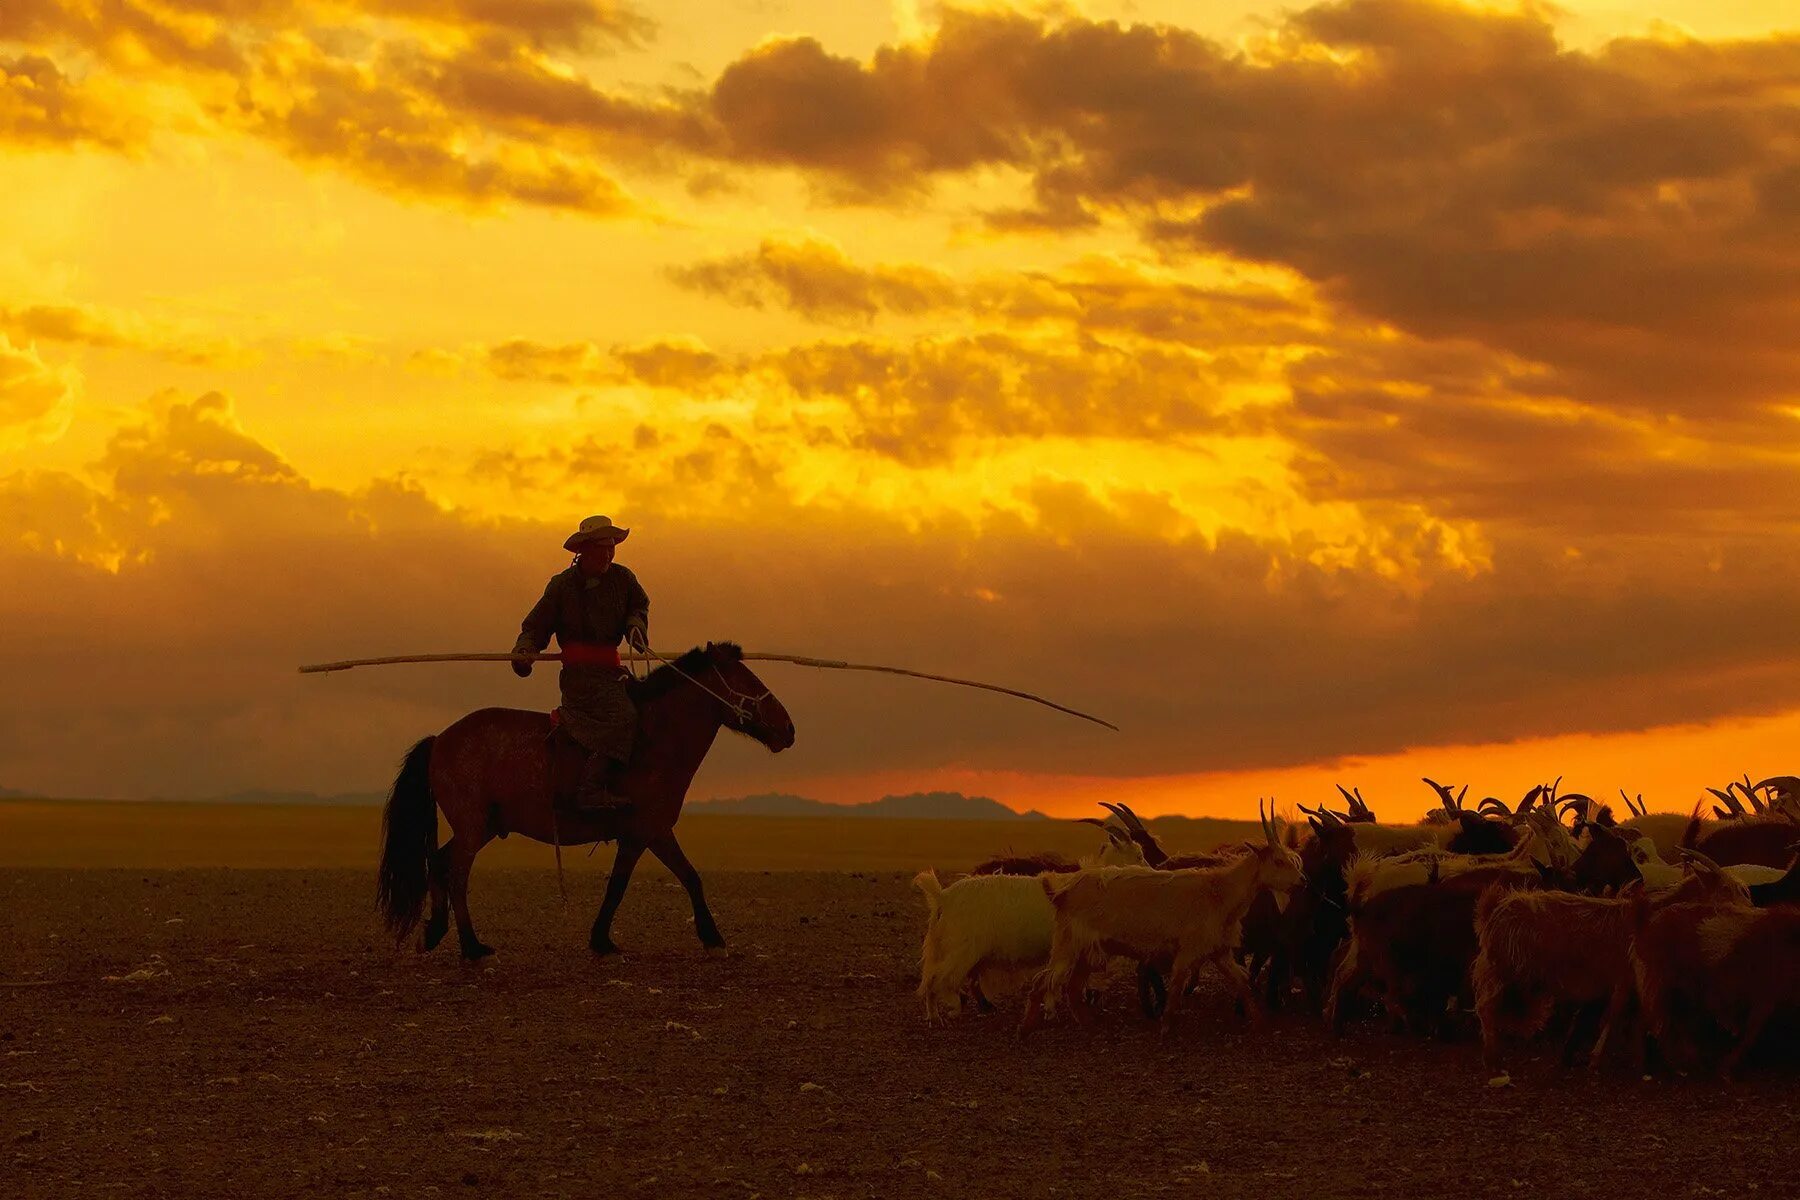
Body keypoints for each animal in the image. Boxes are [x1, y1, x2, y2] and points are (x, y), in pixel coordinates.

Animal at [374, 644, 795, 964]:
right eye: (749, 682)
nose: (789, 730)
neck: (653, 741)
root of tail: (440, 740)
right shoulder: (648, 832)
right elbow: (654, 882)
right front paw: (707, 937)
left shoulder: (644, 834)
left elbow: (651, 882)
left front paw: (605, 939)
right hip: (473, 827)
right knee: (457, 874)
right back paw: (473, 947)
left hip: (483, 827)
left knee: (439, 862)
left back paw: (435, 932)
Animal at [1022, 802, 1303, 1036]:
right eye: (1278, 861)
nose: (1302, 880)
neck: (1218, 890)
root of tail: (1062, 892)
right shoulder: (1188, 951)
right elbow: (1177, 984)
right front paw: (1166, 1026)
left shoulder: (1220, 951)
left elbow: (1242, 983)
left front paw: (1259, 1023)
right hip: (1069, 945)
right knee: (1041, 982)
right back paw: (1025, 1030)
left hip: (1090, 950)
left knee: (1072, 987)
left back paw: (1087, 1024)